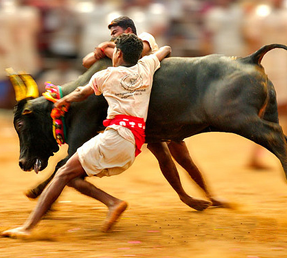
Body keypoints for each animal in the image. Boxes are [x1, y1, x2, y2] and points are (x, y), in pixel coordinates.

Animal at [14, 44, 287, 204]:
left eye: (21, 125)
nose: (22, 163)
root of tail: (248, 59)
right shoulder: (156, 140)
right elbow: (171, 168)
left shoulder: (80, 139)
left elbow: (60, 167)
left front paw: (35, 192)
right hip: (264, 115)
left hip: (242, 120)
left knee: (276, 140)